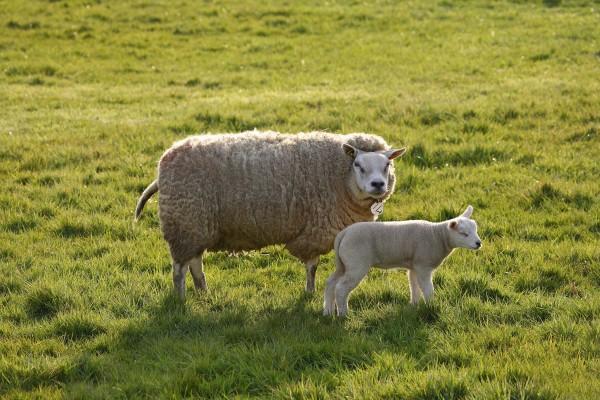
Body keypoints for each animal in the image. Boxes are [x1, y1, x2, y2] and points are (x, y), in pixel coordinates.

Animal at [135, 131, 408, 300]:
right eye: (358, 165)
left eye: (387, 165)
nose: (378, 185)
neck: (339, 176)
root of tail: (165, 162)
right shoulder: (314, 230)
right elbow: (312, 266)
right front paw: (309, 293)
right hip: (184, 224)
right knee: (179, 269)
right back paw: (181, 299)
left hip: (197, 228)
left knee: (194, 263)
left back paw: (203, 292)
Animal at [324, 206, 482, 316]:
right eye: (464, 234)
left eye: (475, 230)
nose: (478, 243)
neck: (438, 236)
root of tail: (343, 234)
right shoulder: (424, 266)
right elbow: (428, 289)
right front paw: (432, 306)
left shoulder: (415, 266)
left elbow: (414, 286)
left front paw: (415, 305)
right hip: (356, 263)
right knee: (341, 287)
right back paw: (343, 313)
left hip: (343, 264)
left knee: (331, 282)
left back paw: (328, 311)